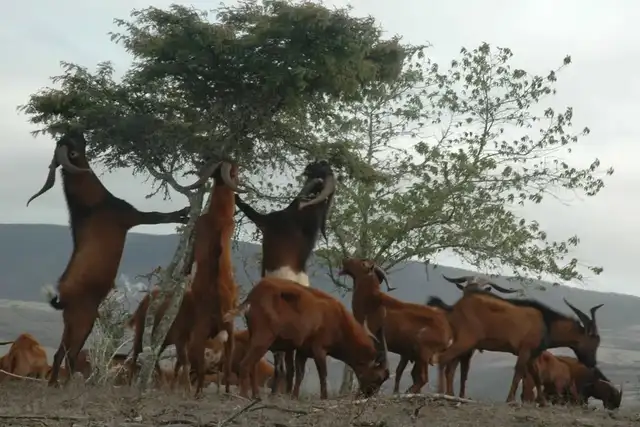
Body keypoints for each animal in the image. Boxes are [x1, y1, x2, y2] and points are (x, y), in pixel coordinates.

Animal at [26, 130, 193, 386]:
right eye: (72, 148)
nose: (78, 132)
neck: (93, 204)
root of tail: (62, 297)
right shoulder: (130, 217)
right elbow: (157, 216)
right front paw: (184, 214)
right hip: (83, 319)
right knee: (69, 354)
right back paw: (67, 384)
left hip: (70, 321)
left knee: (61, 353)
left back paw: (57, 384)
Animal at [223, 277, 389, 399]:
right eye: (379, 377)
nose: (368, 395)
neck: (337, 319)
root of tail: (252, 297)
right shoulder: (319, 349)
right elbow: (323, 374)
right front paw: (324, 397)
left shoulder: (303, 351)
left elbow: (300, 374)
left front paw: (294, 397)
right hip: (263, 338)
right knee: (245, 364)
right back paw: (244, 396)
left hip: (254, 337)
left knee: (252, 366)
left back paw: (256, 396)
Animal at [339, 258, 450, 394]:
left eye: (363, 263)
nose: (345, 259)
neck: (371, 303)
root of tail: (447, 331)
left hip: (423, 351)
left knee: (423, 378)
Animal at [435, 287, 603, 406]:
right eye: (594, 341)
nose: (592, 363)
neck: (547, 324)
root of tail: (454, 307)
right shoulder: (525, 350)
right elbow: (518, 373)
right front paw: (510, 400)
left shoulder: (533, 354)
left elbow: (536, 376)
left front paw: (542, 402)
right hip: (466, 340)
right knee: (443, 358)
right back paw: (441, 394)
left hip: (463, 343)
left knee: (450, 367)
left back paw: (450, 396)